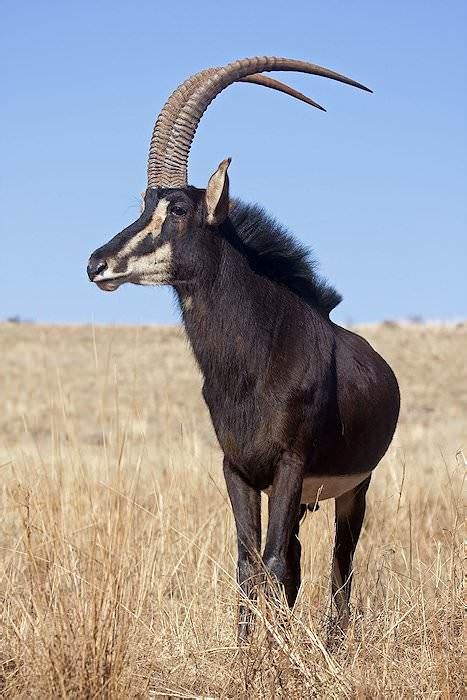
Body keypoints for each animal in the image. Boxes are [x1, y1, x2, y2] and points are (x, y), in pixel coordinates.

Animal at [88, 57, 402, 636]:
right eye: (144, 205)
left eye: (178, 209)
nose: (97, 263)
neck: (254, 360)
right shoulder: (237, 469)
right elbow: (248, 561)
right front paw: (246, 648)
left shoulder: (289, 465)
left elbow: (273, 562)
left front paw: (271, 652)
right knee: (298, 558)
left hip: (353, 490)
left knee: (339, 565)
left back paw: (334, 641)